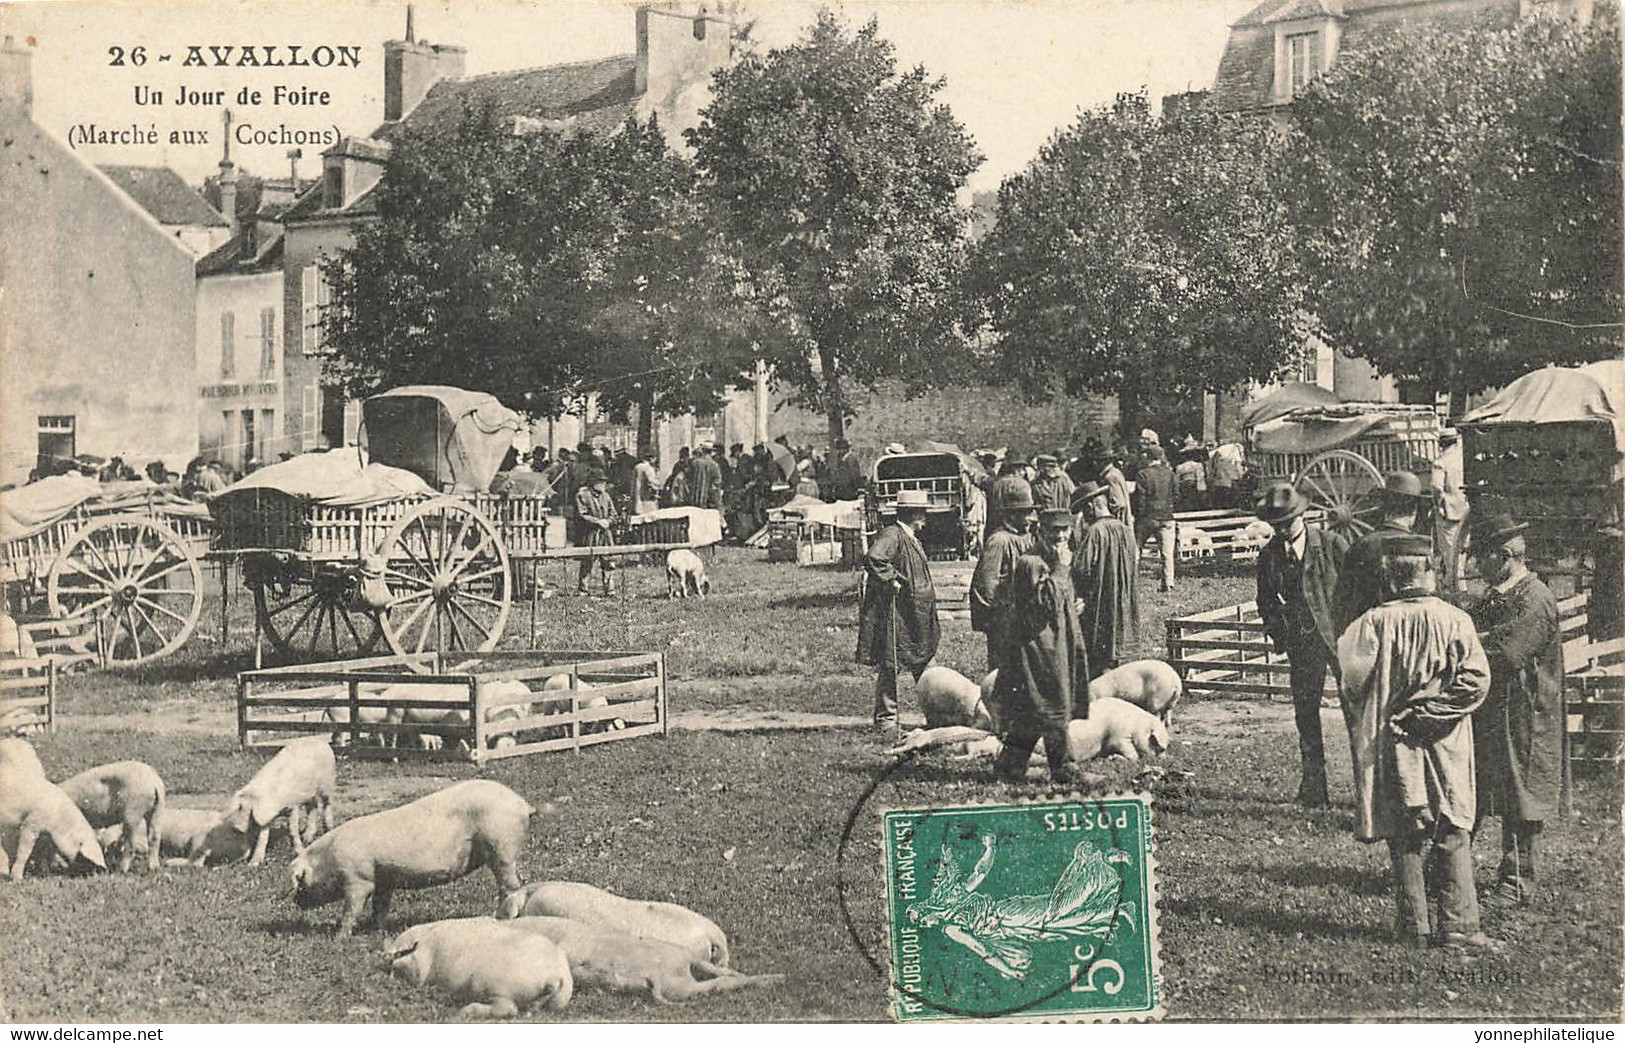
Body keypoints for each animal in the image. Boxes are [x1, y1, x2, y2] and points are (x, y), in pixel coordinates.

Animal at [290, 773, 539, 935]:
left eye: (300, 880)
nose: (296, 902)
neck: (329, 859)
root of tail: (523, 804)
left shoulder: (358, 880)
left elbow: (351, 909)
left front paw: (339, 936)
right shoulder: (384, 880)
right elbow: (380, 907)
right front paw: (376, 931)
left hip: (502, 847)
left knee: (510, 886)